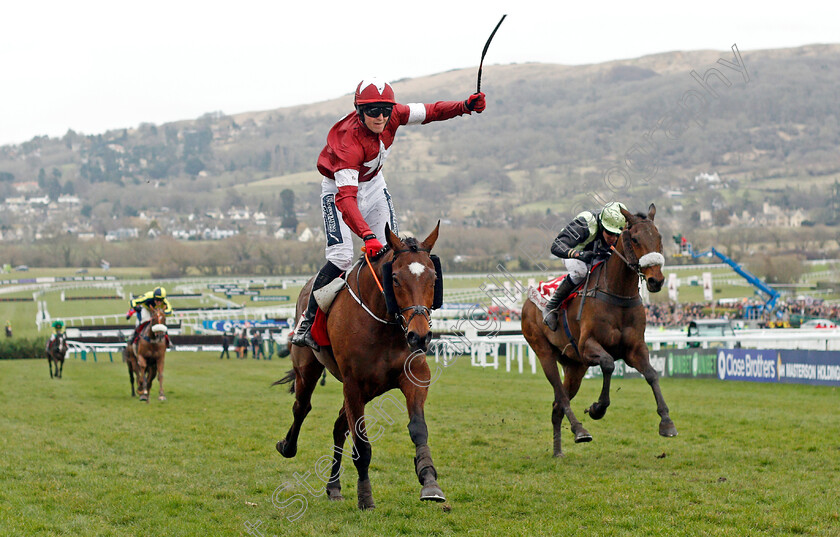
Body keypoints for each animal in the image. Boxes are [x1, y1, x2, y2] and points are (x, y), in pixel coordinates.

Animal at [276, 223, 446, 510]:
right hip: (308, 370)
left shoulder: (414, 377)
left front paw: (429, 481)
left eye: (433, 278)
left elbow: (418, 428)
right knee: (302, 407)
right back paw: (288, 447)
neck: (384, 323)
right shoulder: (354, 385)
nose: (419, 336)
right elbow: (362, 447)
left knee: (338, 427)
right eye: (395, 279)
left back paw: (333, 487)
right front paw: (365, 496)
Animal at [520, 203, 680, 454]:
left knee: (557, 406)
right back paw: (580, 430)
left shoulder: (634, 348)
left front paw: (666, 422)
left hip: (575, 366)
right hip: (544, 352)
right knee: (560, 397)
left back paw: (558, 451)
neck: (617, 294)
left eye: (659, 237)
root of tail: (528, 301)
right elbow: (608, 365)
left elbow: (652, 374)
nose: (656, 280)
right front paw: (597, 408)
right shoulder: (588, 346)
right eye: (635, 239)